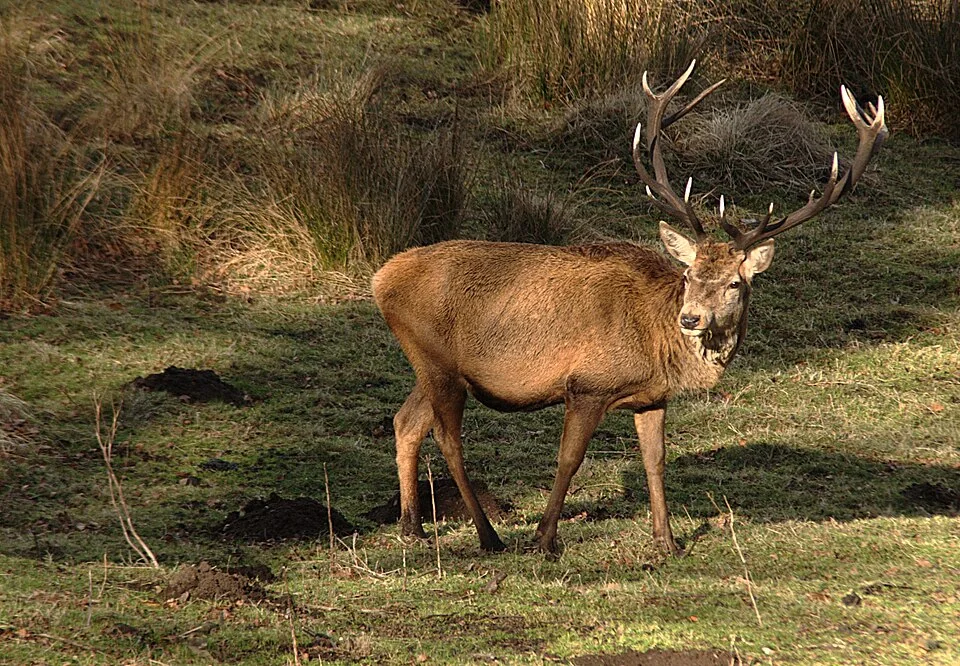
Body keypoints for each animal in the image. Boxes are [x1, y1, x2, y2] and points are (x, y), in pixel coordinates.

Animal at [372, 61, 887, 556]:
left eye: (735, 283)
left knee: (405, 422)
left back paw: (413, 528)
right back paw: (489, 536)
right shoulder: (587, 384)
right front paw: (544, 540)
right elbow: (569, 460)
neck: (657, 344)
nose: (691, 318)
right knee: (447, 439)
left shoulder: (652, 396)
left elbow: (655, 462)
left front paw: (667, 542)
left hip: (434, 366)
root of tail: (381, 279)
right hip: (437, 361)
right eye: (688, 276)